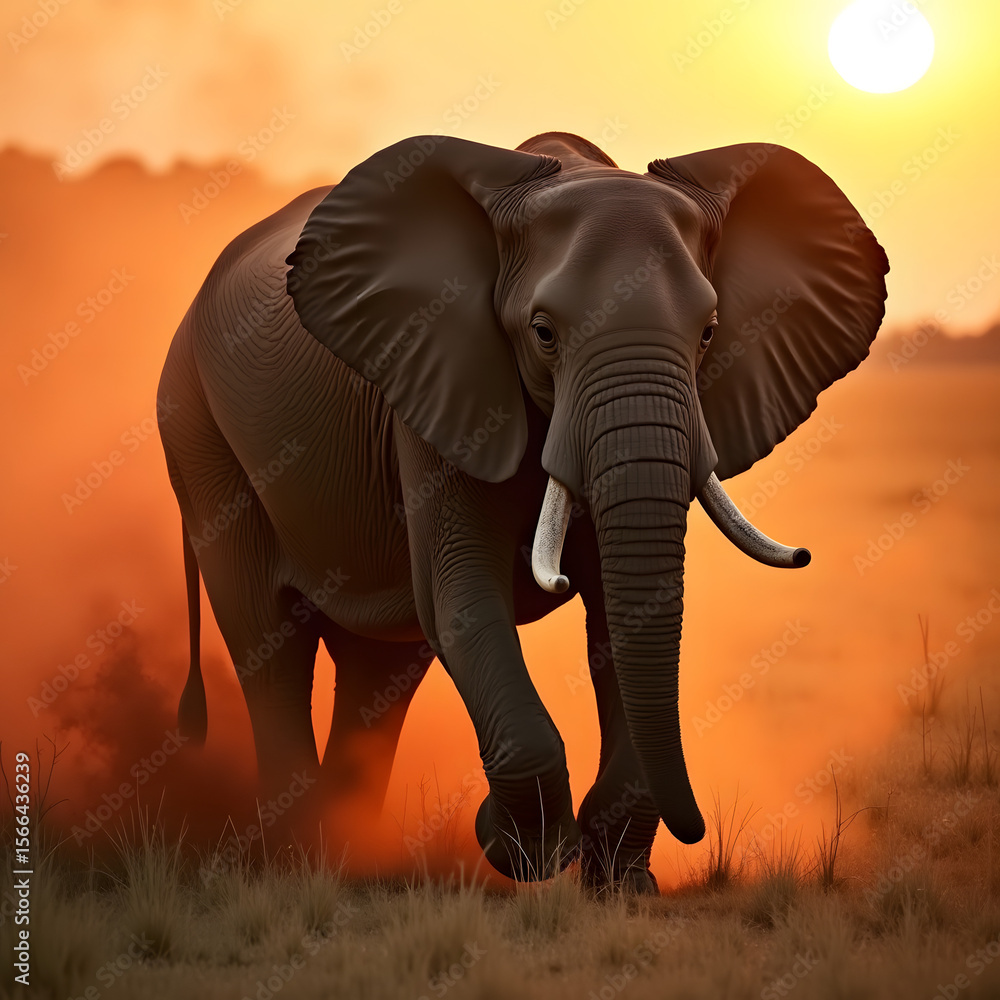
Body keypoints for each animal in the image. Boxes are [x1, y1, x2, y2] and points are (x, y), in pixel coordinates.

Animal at [157, 131, 887, 891]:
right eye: (543, 332)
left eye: (711, 332)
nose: (698, 830)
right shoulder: (436, 382)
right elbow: (463, 597)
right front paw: (518, 851)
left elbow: (616, 615)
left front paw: (619, 887)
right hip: (197, 432)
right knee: (269, 639)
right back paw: (301, 860)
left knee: (378, 669)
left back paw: (348, 845)